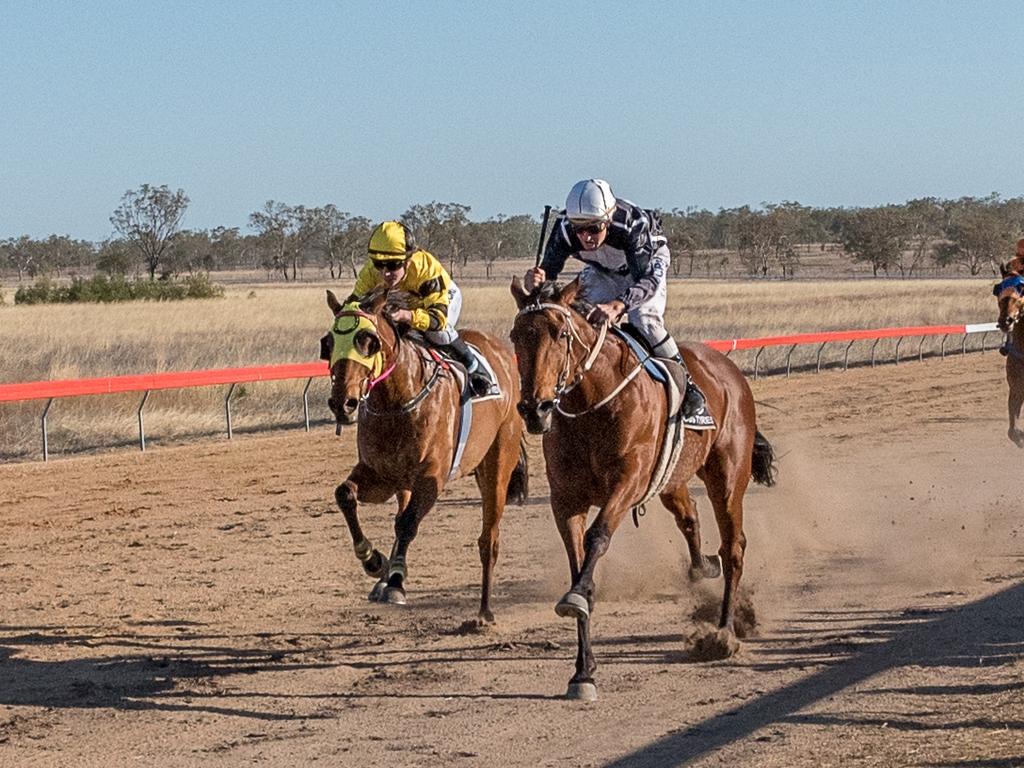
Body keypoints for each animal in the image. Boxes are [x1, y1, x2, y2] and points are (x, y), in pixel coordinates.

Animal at [321, 290, 528, 626]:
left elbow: (407, 524)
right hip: (405, 481)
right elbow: (345, 494)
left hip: (498, 462)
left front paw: (395, 582)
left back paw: (484, 612)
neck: (398, 399)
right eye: (328, 342)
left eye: (367, 340)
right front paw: (373, 560)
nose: (343, 403)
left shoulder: (432, 477)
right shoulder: (380, 474)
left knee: (489, 538)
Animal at [512, 280, 774, 700]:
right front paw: (583, 671)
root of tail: (729, 370)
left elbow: (598, 537)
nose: (535, 408)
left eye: (561, 333)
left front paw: (576, 598)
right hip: (672, 481)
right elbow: (578, 565)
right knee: (690, 518)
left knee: (733, 547)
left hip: (727, 477)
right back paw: (702, 567)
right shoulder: (566, 500)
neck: (592, 404)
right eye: (516, 335)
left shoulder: (627, 482)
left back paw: (724, 631)